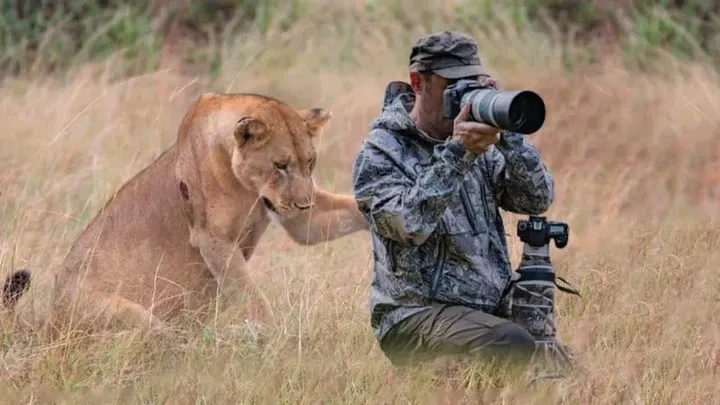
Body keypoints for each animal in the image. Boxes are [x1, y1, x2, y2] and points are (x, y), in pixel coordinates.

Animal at [1, 92, 369, 337]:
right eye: (279, 165)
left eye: (310, 162)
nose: (304, 202)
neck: (247, 186)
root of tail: (49, 320)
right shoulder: (212, 239)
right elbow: (251, 296)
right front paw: (275, 337)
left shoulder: (298, 220)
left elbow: (348, 209)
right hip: (127, 314)